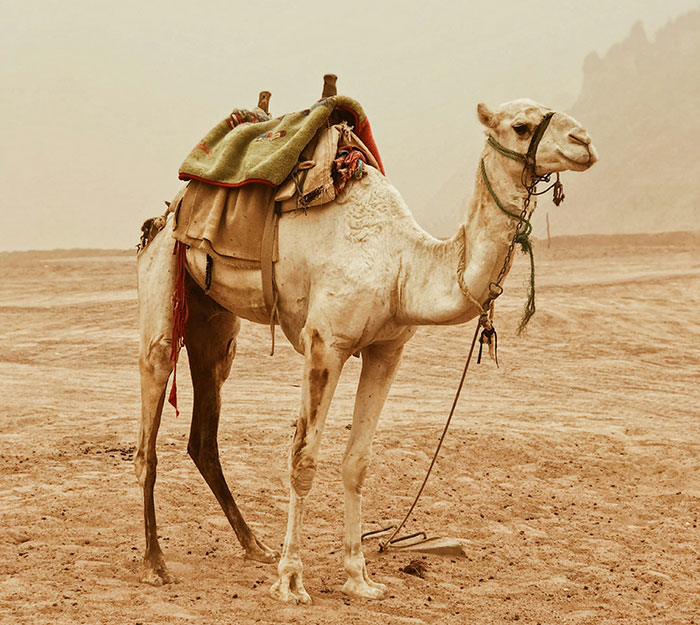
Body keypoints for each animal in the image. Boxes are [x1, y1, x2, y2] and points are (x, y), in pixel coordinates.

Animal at [134, 97, 597, 603]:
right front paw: (291, 580)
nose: (585, 142)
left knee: (204, 430)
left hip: (214, 321)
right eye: (521, 126)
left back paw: (254, 544)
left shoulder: (387, 350)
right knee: (149, 425)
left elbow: (356, 462)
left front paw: (359, 576)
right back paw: (156, 563)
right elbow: (302, 460)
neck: (402, 267)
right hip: (163, 279)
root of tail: (167, 212)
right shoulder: (325, 343)